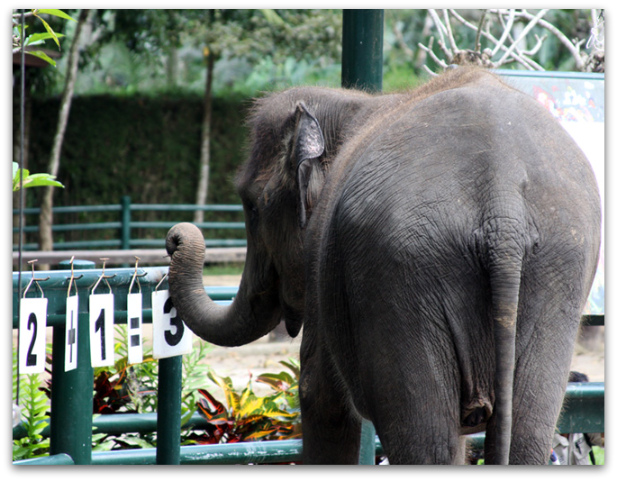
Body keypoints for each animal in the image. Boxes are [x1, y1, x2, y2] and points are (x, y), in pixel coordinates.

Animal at [166, 65, 600, 464]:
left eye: (251, 207)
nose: (175, 238)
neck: (353, 103)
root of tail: (502, 199)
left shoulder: (323, 260)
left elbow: (319, 394)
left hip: (404, 276)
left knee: (423, 440)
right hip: (555, 273)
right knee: (526, 432)